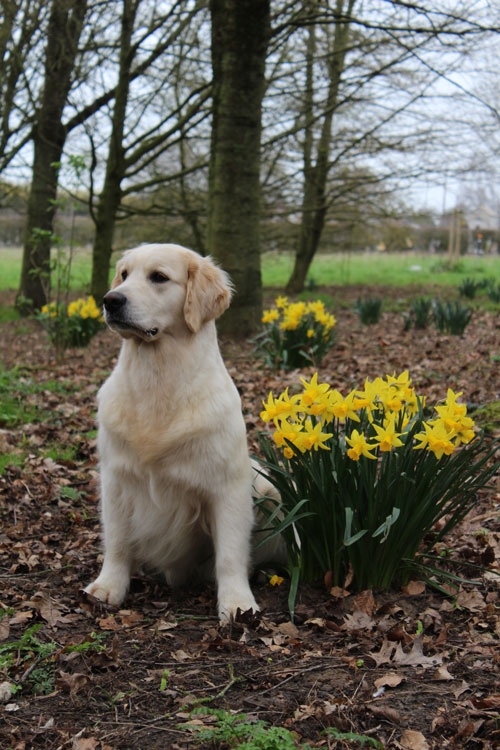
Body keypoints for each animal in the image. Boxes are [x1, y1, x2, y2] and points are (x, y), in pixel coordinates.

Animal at [86, 242, 264, 624]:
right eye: (124, 275)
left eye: (159, 277)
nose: (110, 300)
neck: (158, 379)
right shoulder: (116, 478)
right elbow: (117, 540)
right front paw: (109, 586)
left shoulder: (228, 485)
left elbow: (230, 553)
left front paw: (237, 604)